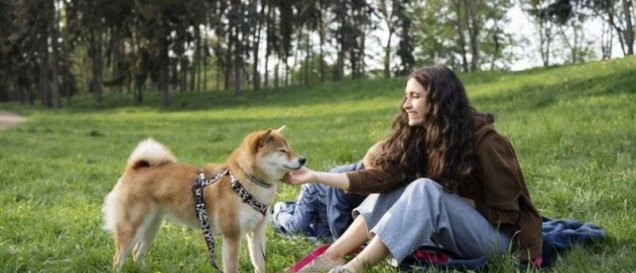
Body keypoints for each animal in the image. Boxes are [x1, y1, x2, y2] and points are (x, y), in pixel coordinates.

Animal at [102, 126, 306, 270]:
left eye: (290, 148)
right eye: (282, 150)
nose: (303, 159)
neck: (244, 180)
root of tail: (135, 168)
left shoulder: (256, 233)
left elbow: (259, 264)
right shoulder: (232, 235)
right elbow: (232, 267)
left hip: (151, 227)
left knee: (137, 253)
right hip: (131, 229)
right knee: (118, 258)